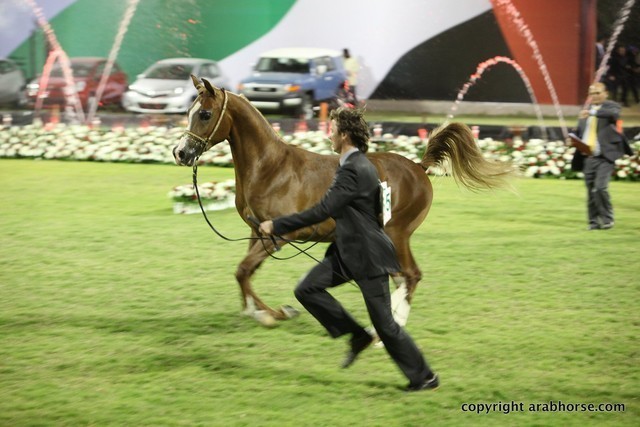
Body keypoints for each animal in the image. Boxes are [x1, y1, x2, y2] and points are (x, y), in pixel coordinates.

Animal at [173, 75, 513, 327]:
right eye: (189, 112)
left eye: (204, 114)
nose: (181, 153)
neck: (271, 168)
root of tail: (418, 167)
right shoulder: (258, 231)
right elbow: (245, 273)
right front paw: (266, 311)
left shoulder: (281, 235)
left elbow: (243, 270)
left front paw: (273, 314)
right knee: (401, 278)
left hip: (398, 233)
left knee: (410, 276)